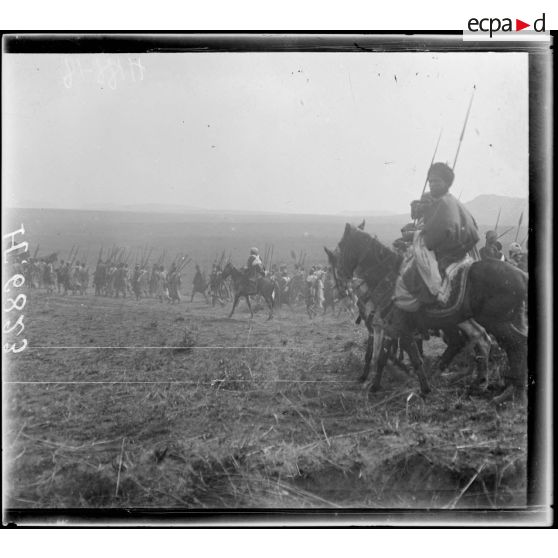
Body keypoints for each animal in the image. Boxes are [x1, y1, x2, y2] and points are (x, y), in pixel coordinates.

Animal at [324, 225, 528, 404]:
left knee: (515, 345)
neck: (388, 275)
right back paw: (482, 383)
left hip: (496, 322)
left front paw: (421, 388)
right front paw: (379, 384)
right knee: (484, 340)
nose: (341, 286)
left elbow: (406, 357)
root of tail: (521, 275)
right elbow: (387, 357)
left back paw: (512, 391)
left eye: (340, 247)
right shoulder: (390, 327)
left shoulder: (395, 328)